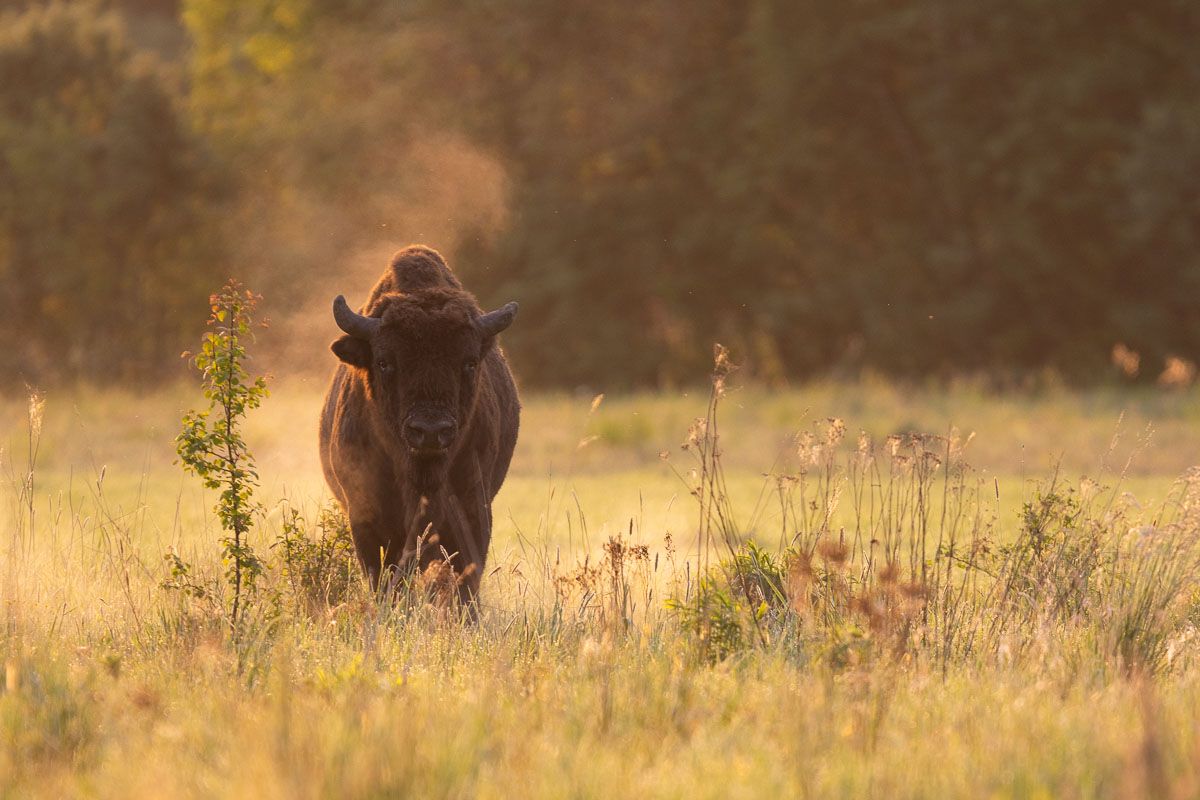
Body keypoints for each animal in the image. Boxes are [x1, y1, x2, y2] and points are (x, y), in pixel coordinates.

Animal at [319, 245, 520, 606]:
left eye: (469, 362)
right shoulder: (368, 520)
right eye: (384, 362)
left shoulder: (473, 514)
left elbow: (466, 583)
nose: (430, 431)